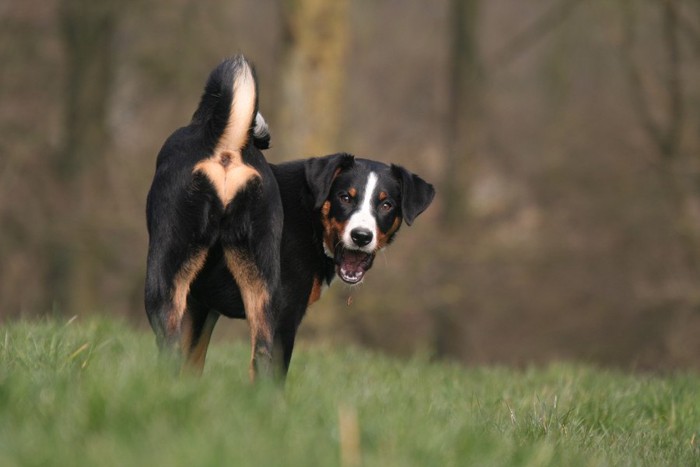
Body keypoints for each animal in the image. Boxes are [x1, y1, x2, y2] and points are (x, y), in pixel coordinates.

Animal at [146, 56, 434, 382]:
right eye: (345, 197)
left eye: (386, 205)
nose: (361, 236)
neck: (311, 220)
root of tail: (228, 148)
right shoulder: (286, 315)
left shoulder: (201, 305)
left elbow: (191, 366)